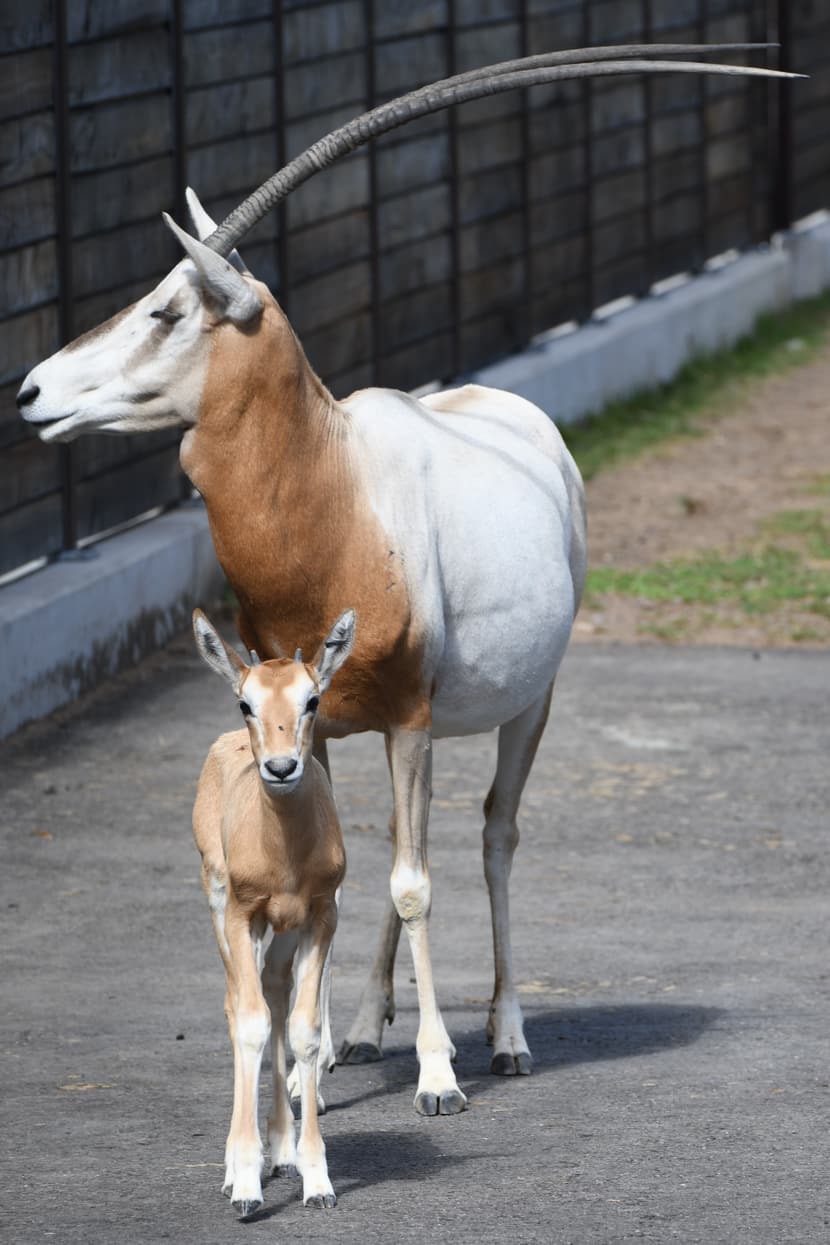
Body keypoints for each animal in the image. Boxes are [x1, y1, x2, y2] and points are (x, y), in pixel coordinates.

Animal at [191, 607, 353, 1210]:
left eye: (312, 699)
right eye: (247, 702)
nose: (281, 768)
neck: (284, 856)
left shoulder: (320, 916)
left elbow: (304, 1029)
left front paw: (317, 1180)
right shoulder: (242, 915)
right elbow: (250, 1023)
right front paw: (244, 1185)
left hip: (282, 934)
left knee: (278, 996)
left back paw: (282, 1150)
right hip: (224, 910)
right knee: (241, 1003)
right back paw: (242, 1166)